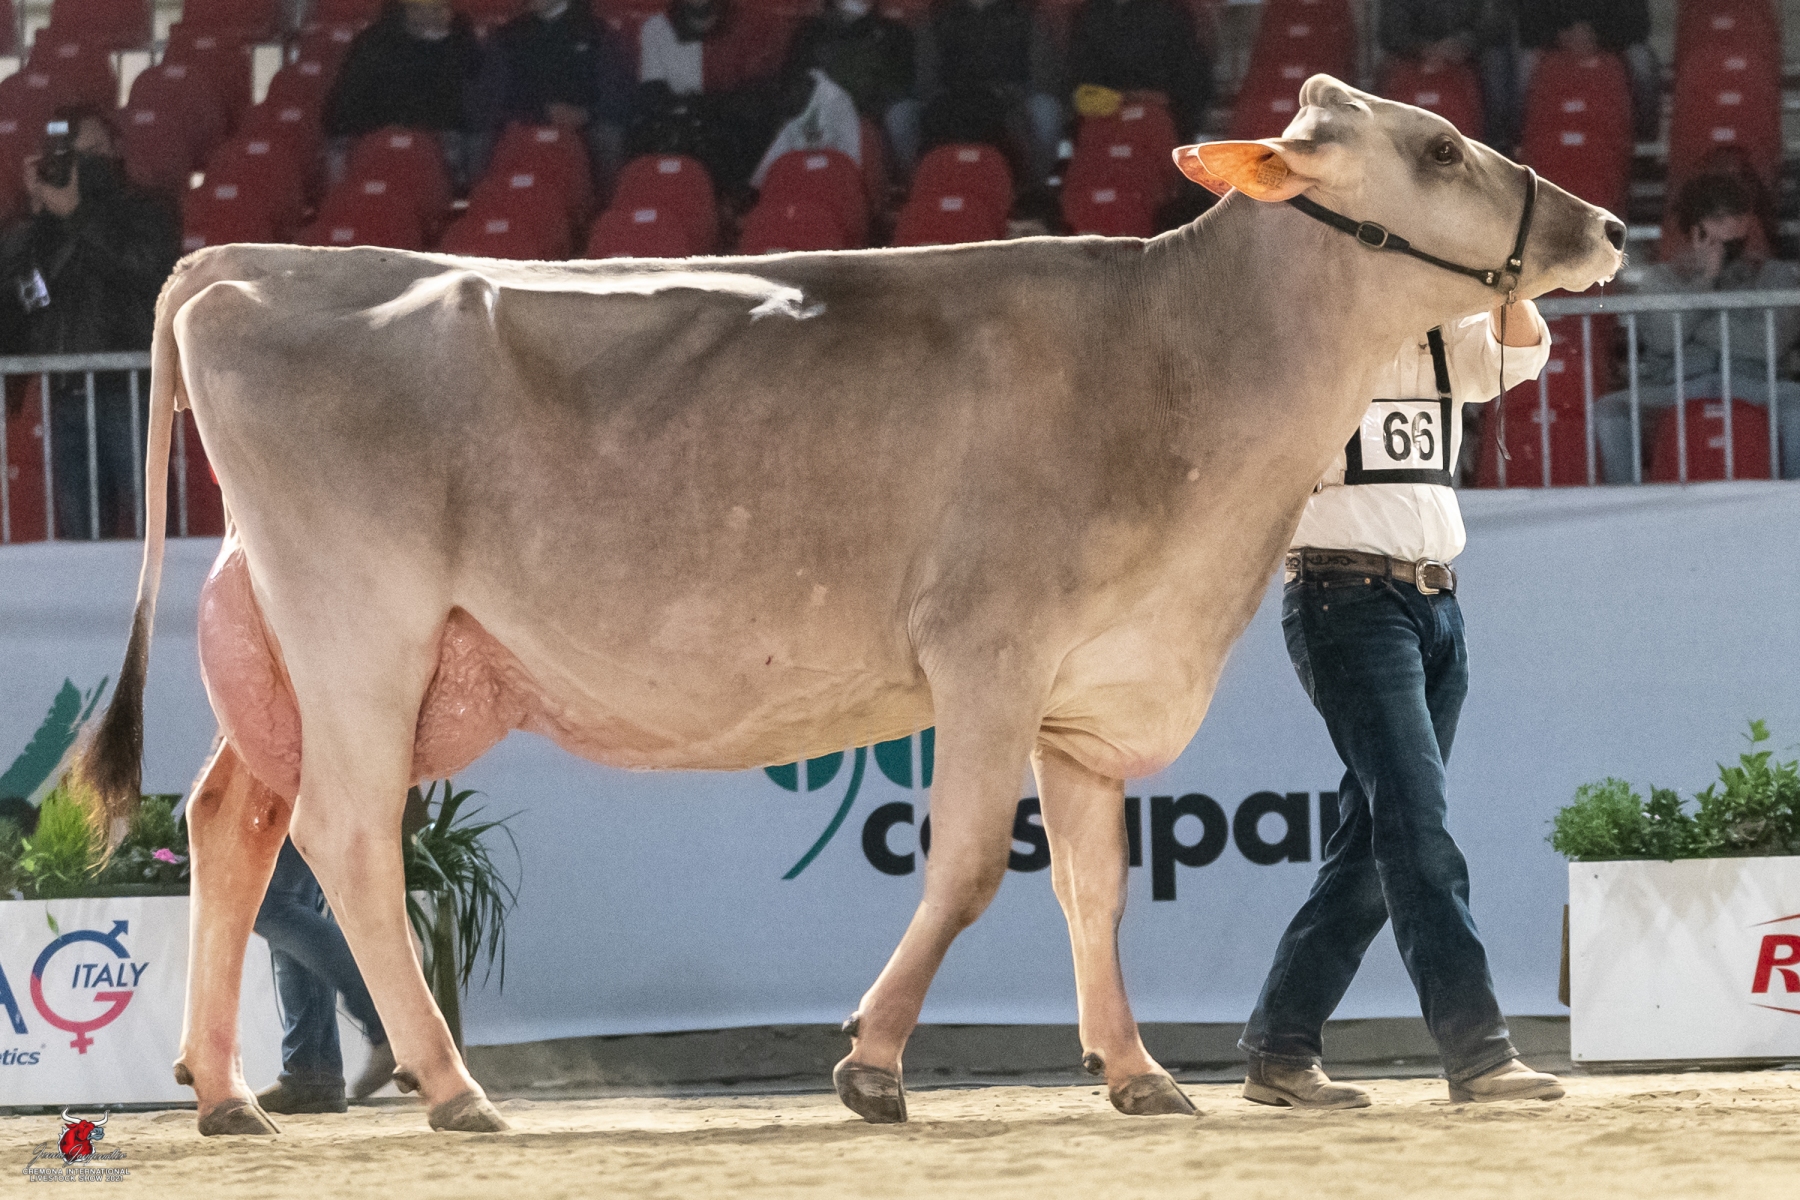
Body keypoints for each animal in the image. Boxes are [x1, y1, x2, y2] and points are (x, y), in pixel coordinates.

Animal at [76, 75, 1621, 1136]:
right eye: (1438, 148)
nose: (1606, 223)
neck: (1176, 365)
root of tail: (252, 260)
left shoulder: (1082, 686)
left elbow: (1096, 887)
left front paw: (1134, 1071)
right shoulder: (989, 648)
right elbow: (967, 869)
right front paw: (871, 1063)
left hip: (300, 645)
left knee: (231, 816)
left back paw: (224, 1094)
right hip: (365, 627)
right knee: (343, 835)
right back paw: (452, 1087)